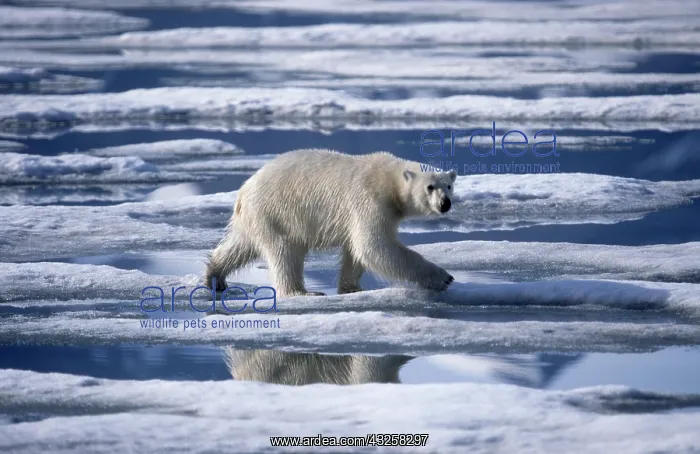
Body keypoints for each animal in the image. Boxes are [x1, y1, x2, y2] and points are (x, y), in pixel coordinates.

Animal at [204, 148, 456, 297]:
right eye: (430, 187)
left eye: (449, 186)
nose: (445, 203)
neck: (388, 178)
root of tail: (244, 190)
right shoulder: (370, 200)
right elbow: (375, 247)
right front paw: (443, 278)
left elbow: (356, 251)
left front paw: (351, 287)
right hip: (276, 213)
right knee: (285, 252)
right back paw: (301, 292)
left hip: (255, 218)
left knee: (240, 246)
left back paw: (215, 276)